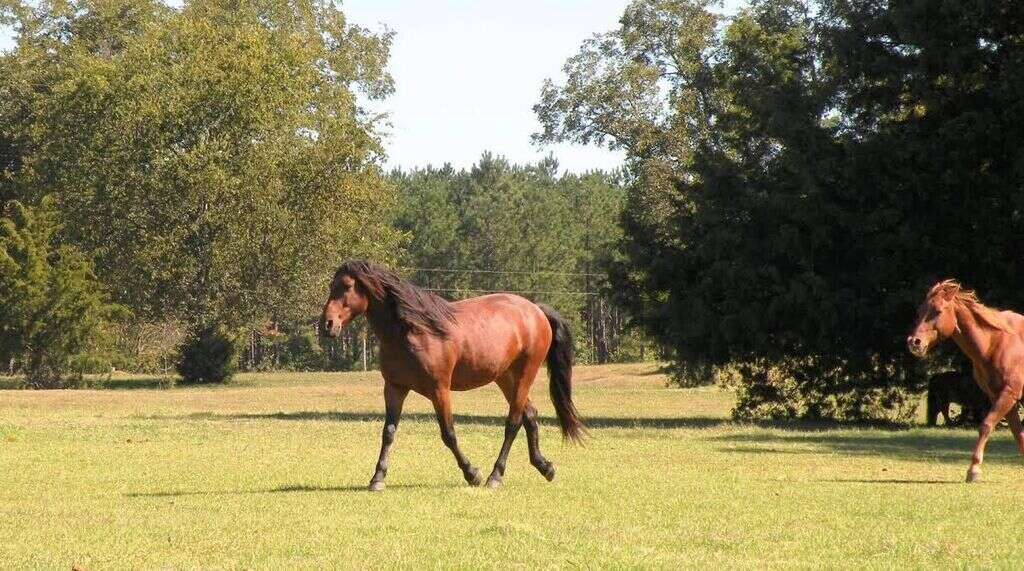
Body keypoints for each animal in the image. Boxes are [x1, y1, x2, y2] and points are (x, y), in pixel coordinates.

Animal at [317, 264, 585, 493]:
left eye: (347, 286)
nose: (326, 325)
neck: (414, 331)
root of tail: (536, 310)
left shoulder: (439, 390)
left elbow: (448, 434)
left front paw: (472, 473)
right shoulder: (394, 388)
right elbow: (389, 432)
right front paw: (377, 478)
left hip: (524, 374)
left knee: (513, 422)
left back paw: (495, 476)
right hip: (505, 378)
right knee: (530, 415)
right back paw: (545, 467)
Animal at [909, 280, 1024, 482]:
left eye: (938, 311)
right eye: (920, 310)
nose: (914, 342)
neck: (996, 342)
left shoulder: (1009, 394)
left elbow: (986, 425)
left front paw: (974, 470)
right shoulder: (999, 396)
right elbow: (1017, 432)